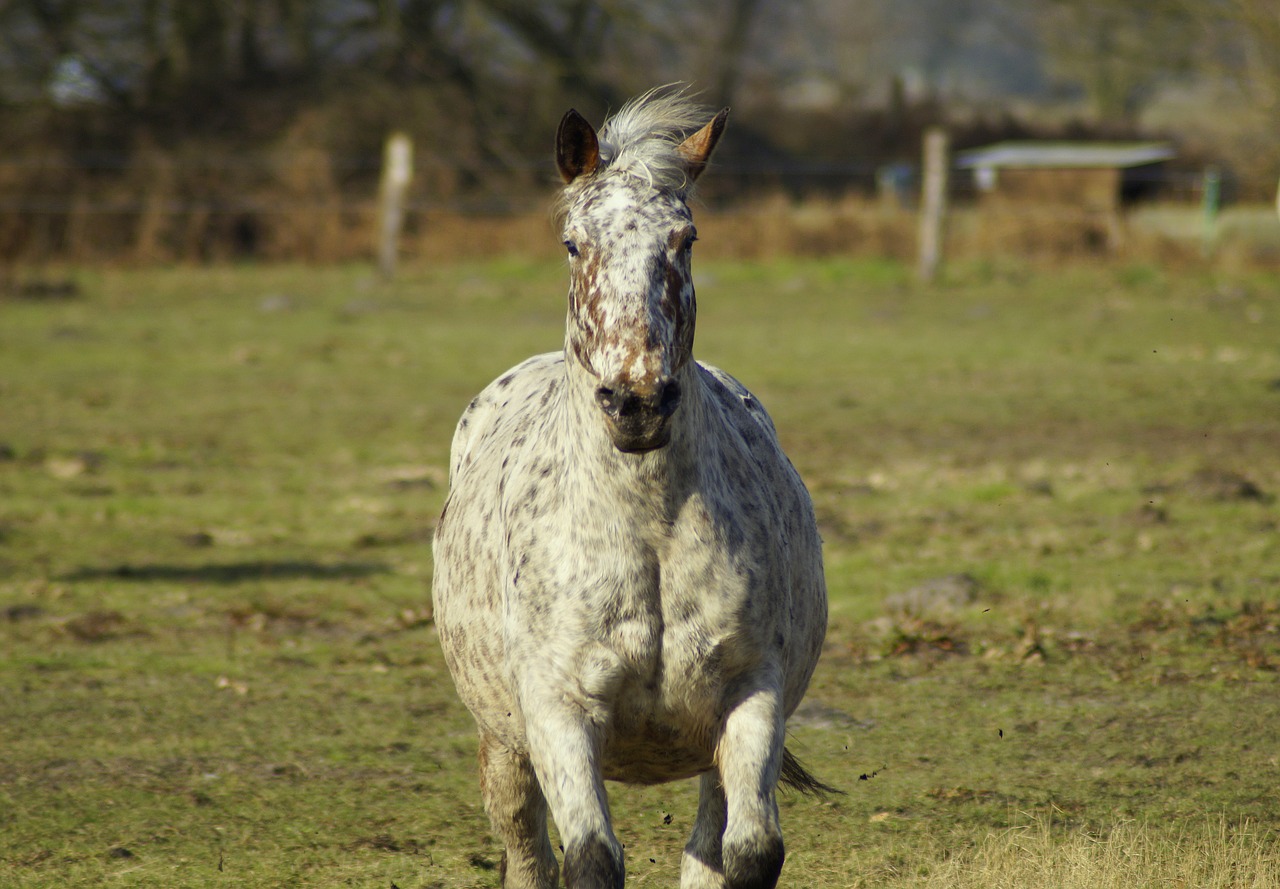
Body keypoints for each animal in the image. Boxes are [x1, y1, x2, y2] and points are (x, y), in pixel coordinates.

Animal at [430, 88, 829, 889]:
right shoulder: (559, 713)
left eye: (686, 238)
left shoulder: (751, 696)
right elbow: (589, 859)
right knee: (527, 852)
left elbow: (751, 852)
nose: (638, 401)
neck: (647, 529)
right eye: (573, 244)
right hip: (506, 746)